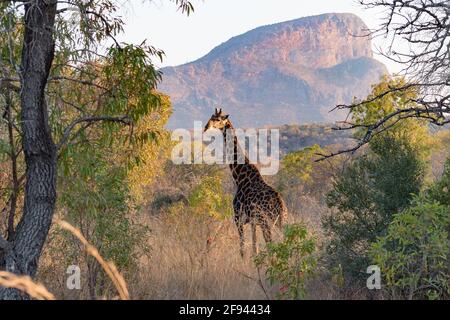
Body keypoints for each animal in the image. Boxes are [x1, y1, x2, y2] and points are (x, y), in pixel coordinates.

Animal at [204, 108, 288, 258]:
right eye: (211, 117)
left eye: (218, 119)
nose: (206, 127)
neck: (240, 178)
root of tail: (280, 206)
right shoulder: (253, 223)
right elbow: (255, 249)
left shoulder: (238, 218)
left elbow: (242, 248)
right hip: (282, 223)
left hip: (267, 223)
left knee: (272, 246)